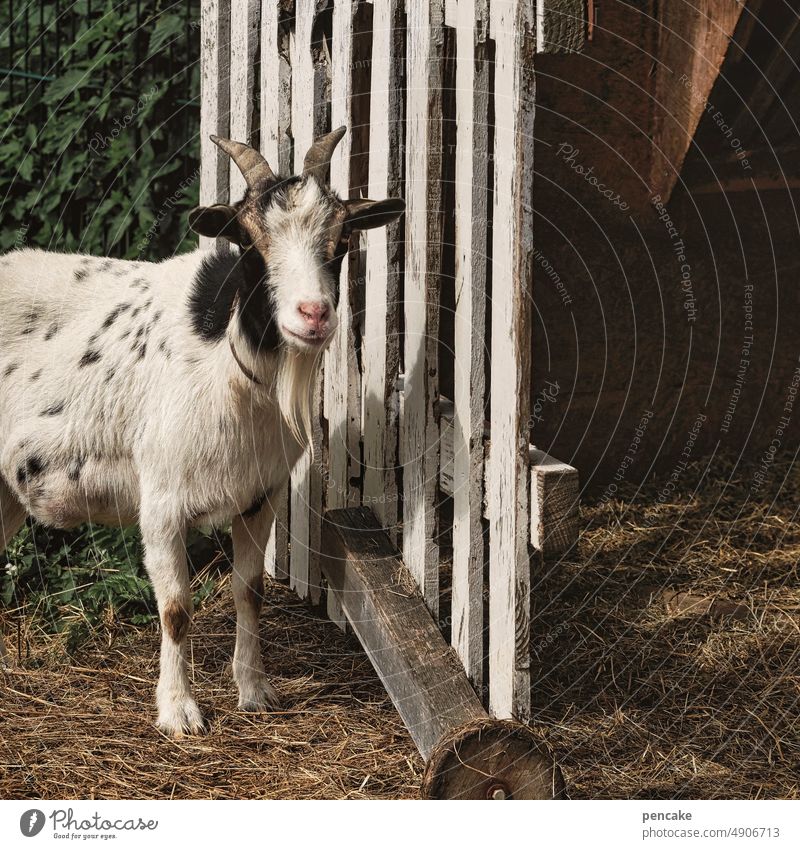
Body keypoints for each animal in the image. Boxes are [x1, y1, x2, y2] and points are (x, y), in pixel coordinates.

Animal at [0, 127, 404, 736]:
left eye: (342, 241)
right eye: (252, 244)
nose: (313, 315)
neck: (226, 367)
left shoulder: (260, 497)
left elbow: (249, 591)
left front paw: (255, 691)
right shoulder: (162, 504)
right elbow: (175, 609)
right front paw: (179, 711)